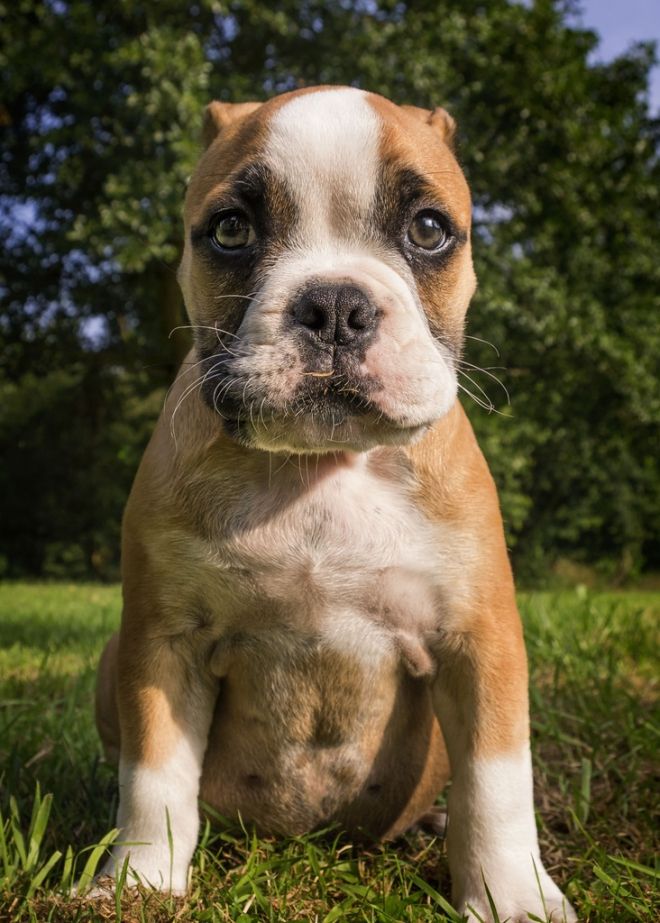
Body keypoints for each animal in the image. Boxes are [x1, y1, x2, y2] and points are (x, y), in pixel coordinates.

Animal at [94, 83, 576, 920]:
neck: (320, 470)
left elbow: (497, 783)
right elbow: (153, 778)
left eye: (428, 229)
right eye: (231, 229)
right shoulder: (160, 643)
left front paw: (513, 894)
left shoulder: (479, 641)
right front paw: (141, 881)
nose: (336, 305)